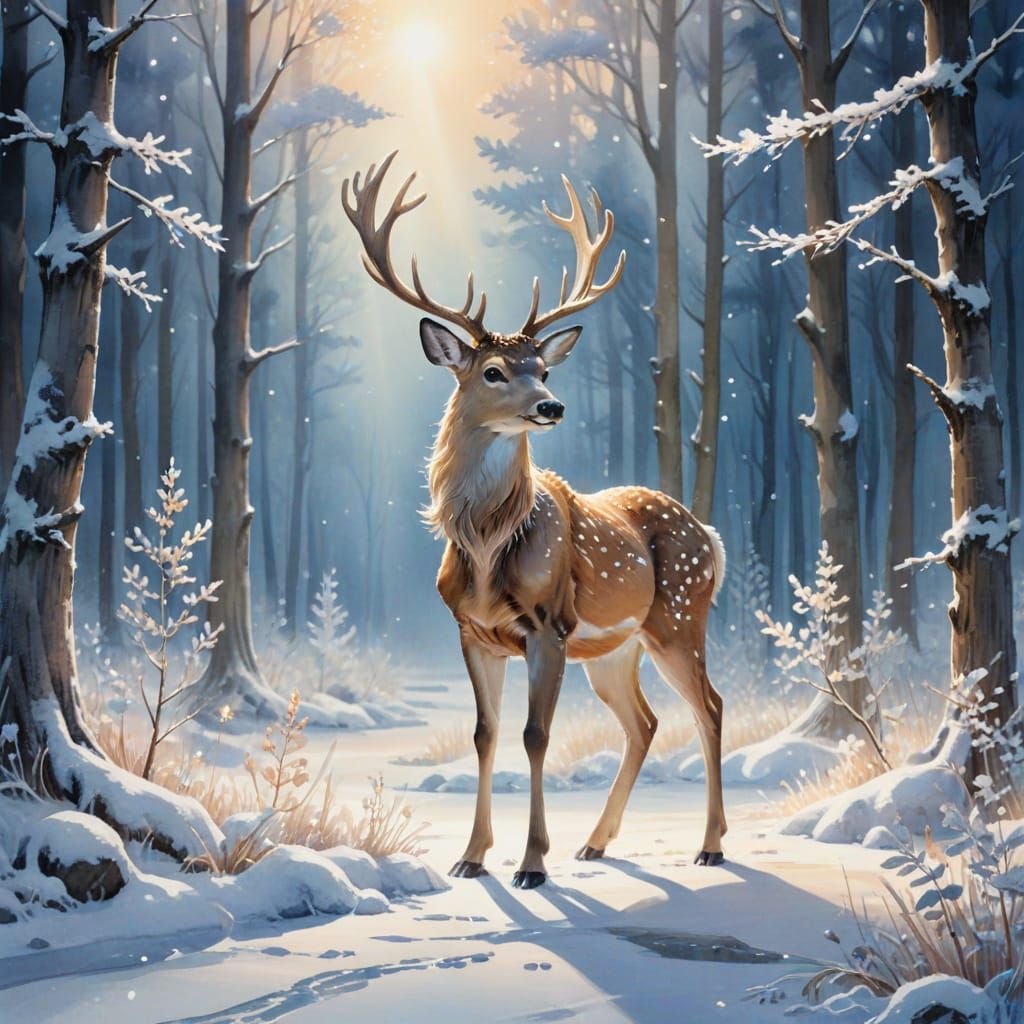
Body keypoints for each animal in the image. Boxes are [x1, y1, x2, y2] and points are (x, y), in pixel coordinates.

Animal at [342, 152, 727, 889]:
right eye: (493, 370)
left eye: (544, 367)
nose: (552, 406)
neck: (489, 551)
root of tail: (712, 537)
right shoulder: (473, 634)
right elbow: (485, 734)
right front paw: (470, 857)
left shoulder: (548, 626)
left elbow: (534, 735)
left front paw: (531, 863)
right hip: (616, 648)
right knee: (645, 722)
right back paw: (597, 843)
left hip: (678, 617)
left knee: (710, 708)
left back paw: (712, 845)